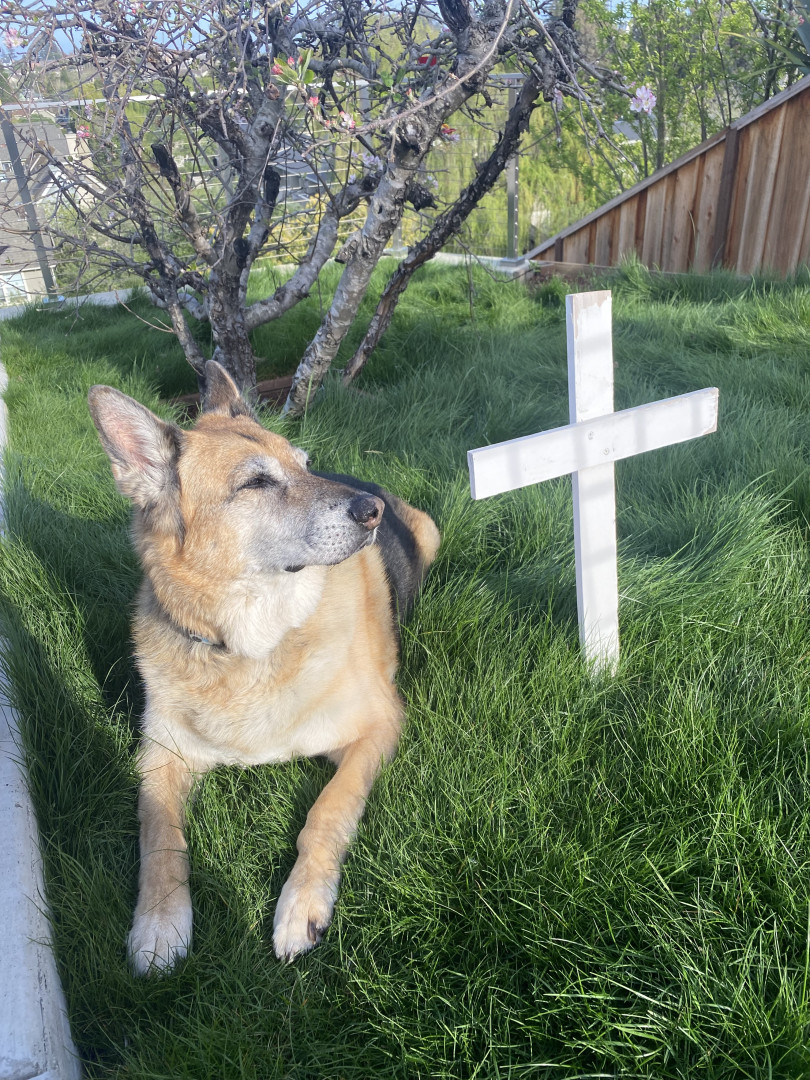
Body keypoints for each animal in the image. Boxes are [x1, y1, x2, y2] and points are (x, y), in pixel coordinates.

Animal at [88, 360, 440, 973]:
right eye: (256, 483)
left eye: (303, 464)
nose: (371, 512)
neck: (253, 645)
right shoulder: (157, 757)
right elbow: (159, 834)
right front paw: (158, 921)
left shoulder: (379, 727)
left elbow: (327, 810)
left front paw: (303, 903)